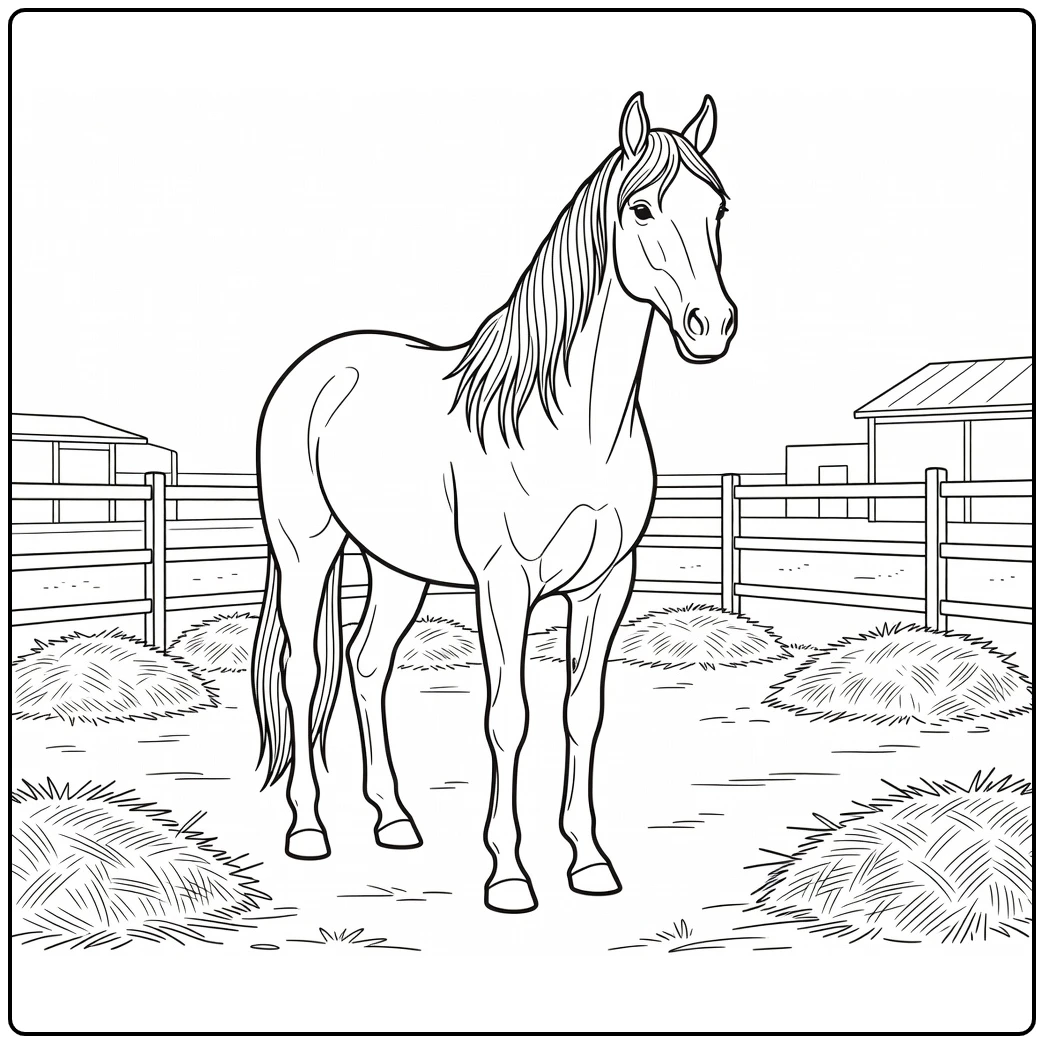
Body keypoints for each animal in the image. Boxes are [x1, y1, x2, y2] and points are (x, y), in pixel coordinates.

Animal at [251, 92, 737, 913]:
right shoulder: (504, 584)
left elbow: (581, 714)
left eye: (719, 211)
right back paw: (309, 832)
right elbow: (509, 717)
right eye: (641, 209)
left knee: (366, 665)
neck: (571, 423)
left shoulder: (607, 585)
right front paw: (509, 877)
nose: (713, 326)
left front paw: (590, 862)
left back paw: (394, 821)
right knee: (305, 674)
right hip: (305, 553)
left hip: (398, 570)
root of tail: (320, 364)